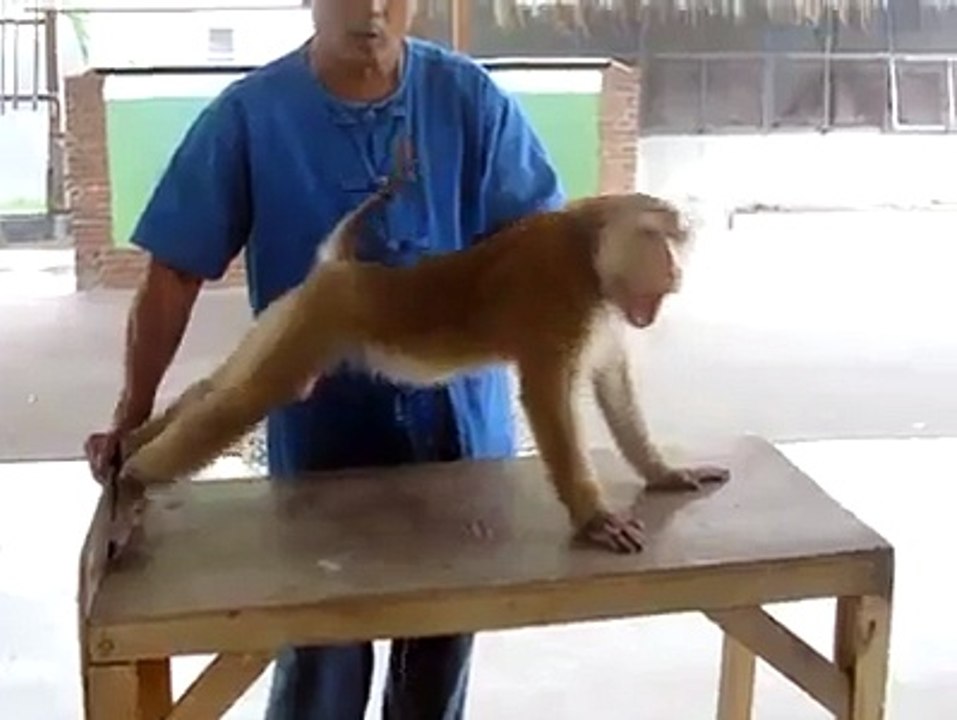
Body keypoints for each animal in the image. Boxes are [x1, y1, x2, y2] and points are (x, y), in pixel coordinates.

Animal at [115, 177, 729, 555]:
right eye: (661, 248)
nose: (671, 275)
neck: (588, 250)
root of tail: (342, 270)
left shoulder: (602, 311)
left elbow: (612, 382)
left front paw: (664, 473)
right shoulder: (559, 296)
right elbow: (548, 395)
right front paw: (594, 518)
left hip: (292, 311)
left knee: (222, 386)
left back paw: (132, 445)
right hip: (323, 318)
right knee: (252, 395)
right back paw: (135, 474)